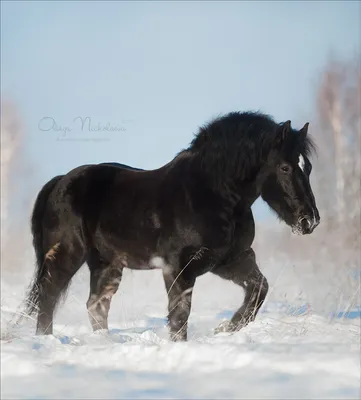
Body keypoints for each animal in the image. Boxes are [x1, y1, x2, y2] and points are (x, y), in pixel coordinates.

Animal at [23, 111, 320, 340]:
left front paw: (224, 329)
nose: (310, 220)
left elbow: (259, 289)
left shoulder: (231, 260)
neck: (213, 194)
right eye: (284, 167)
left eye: (308, 167)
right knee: (48, 299)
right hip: (66, 255)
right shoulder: (179, 268)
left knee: (96, 306)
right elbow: (179, 314)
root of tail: (60, 181)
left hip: (106, 264)